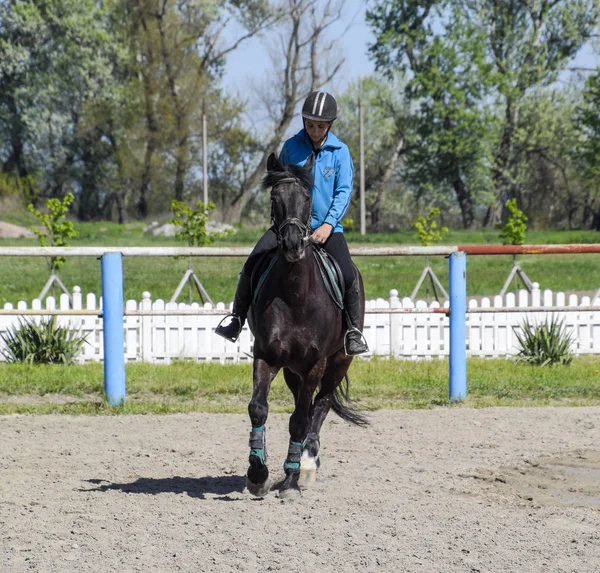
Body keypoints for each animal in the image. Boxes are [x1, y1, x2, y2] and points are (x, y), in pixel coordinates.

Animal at [245, 154, 368, 498]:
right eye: (274, 199)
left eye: (308, 199)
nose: (291, 244)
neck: (295, 295)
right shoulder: (266, 356)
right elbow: (258, 408)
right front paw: (257, 474)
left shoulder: (316, 363)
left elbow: (301, 419)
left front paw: (290, 480)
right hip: (292, 368)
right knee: (308, 401)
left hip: (339, 361)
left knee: (320, 404)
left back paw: (308, 461)